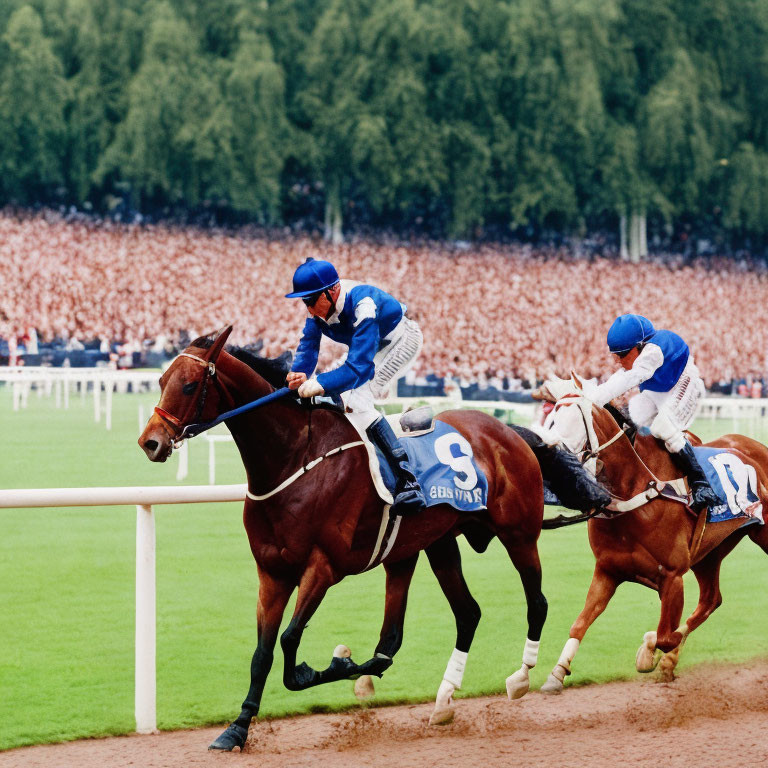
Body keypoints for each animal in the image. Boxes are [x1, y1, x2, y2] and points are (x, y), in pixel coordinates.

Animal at [138, 328, 544, 752]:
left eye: (188, 385)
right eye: (161, 381)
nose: (149, 442)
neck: (294, 457)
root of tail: (507, 430)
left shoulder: (324, 567)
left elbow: (289, 642)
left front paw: (329, 665)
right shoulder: (272, 572)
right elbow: (263, 653)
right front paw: (238, 727)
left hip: (518, 533)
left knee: (537, 603)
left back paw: (522, 678)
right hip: (433, 544)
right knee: (452, 619)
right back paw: (442, 701)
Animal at [536, 380, 768, 692]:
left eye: (573, 420)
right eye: (549, 418)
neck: (636, 491)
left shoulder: (672, 576)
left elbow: (664, 634)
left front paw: (649, 651)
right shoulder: (607, 570)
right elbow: (580, 623)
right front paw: (557, 673)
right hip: (710, 551)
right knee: (711, 600)